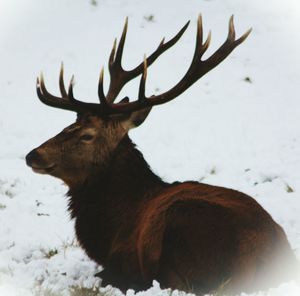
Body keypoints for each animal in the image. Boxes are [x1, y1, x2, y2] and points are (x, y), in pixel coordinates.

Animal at [26, 16, 298, 296]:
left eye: (87, 135)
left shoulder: (124, 258)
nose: (32, 155)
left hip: (185, 227)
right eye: (69, 124)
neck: (110, 228)